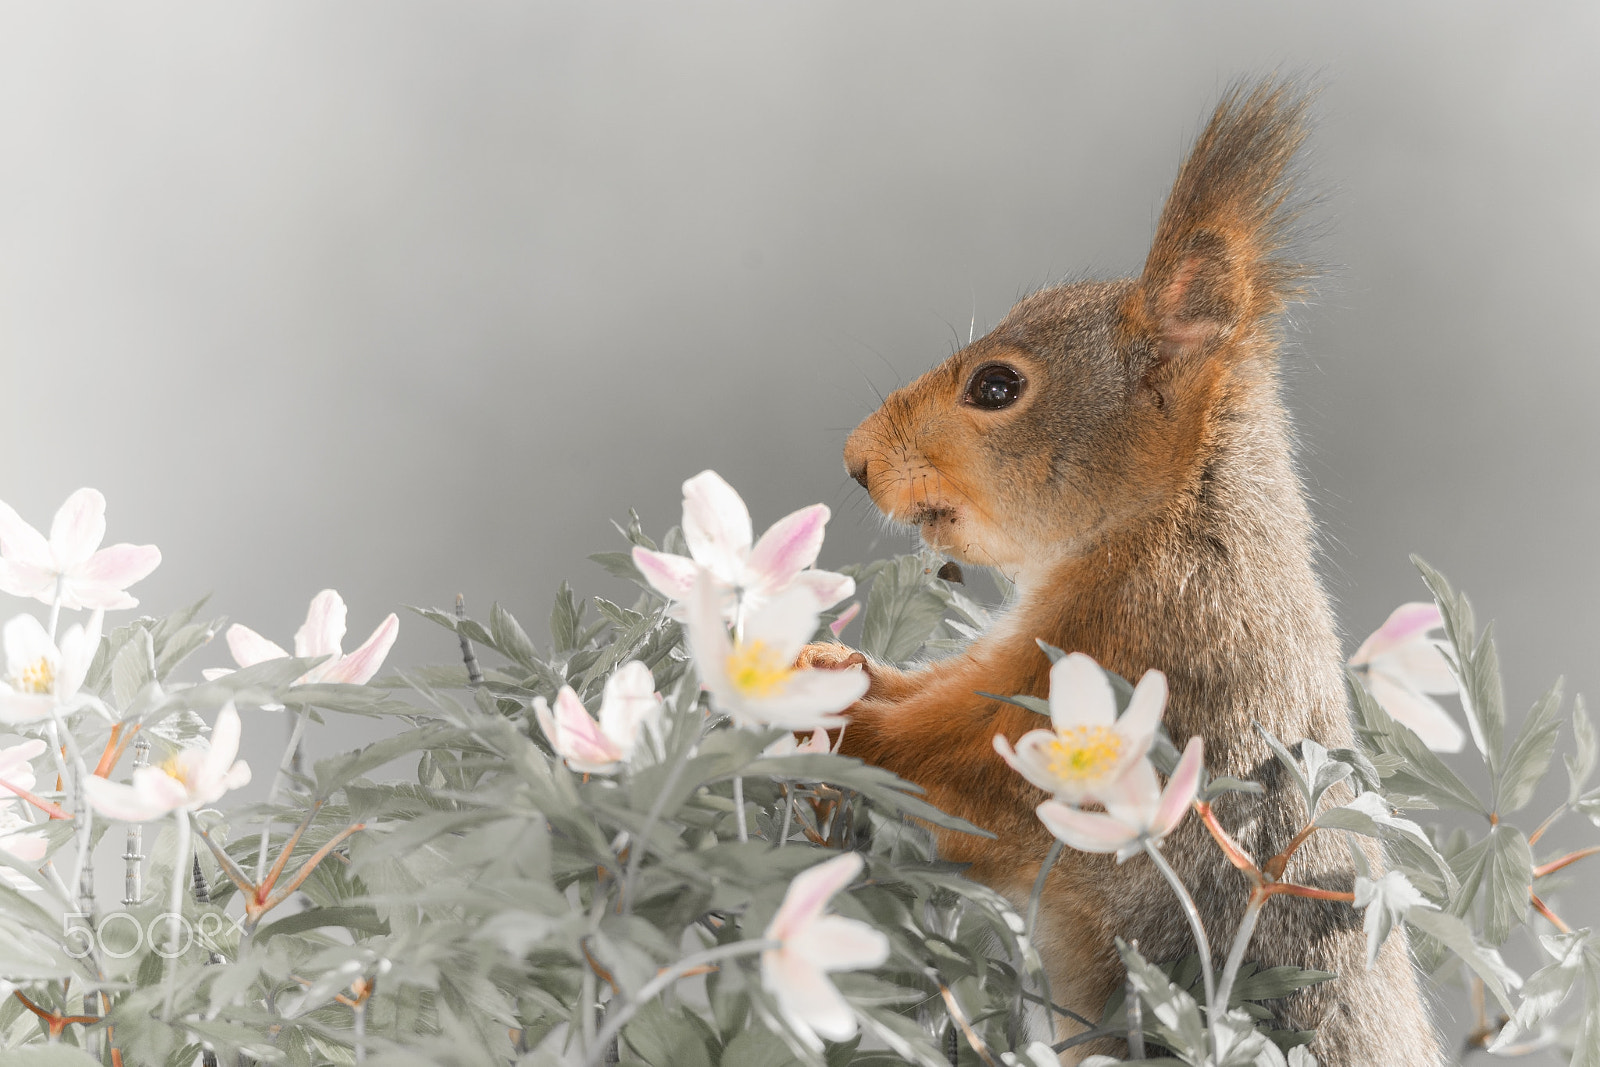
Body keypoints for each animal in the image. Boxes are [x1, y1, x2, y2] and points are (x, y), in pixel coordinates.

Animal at [806, 83, 1446, 1067]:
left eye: (996, 388)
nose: (856, 460)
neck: (1172, 523)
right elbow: (933, 690)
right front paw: (835, 666)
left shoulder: (1142, 661)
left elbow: (965, 766)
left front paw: (837, 719)